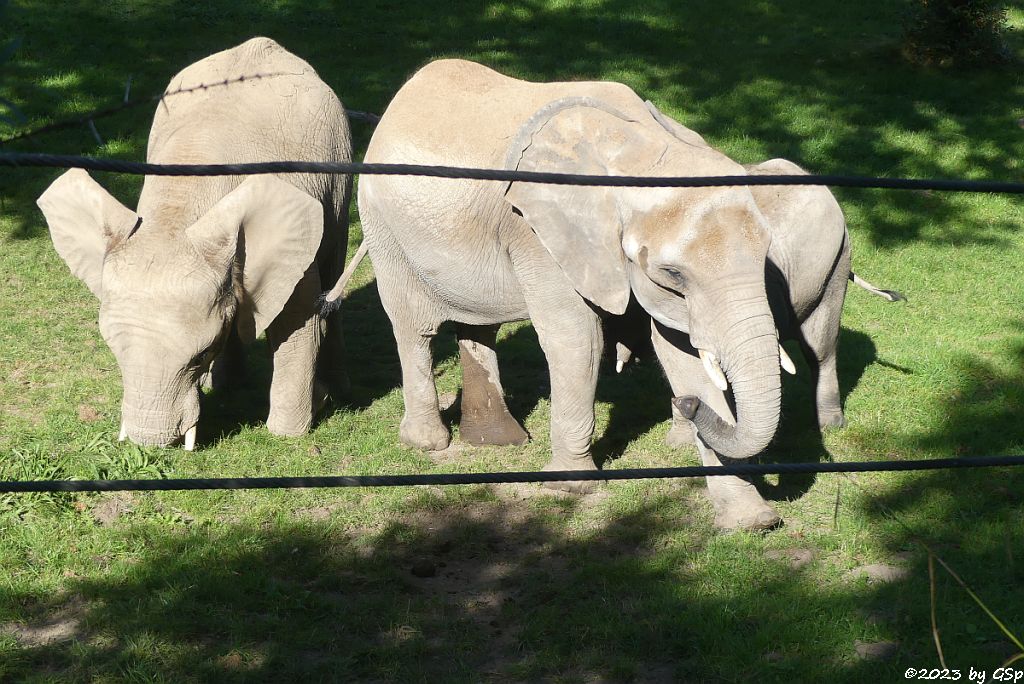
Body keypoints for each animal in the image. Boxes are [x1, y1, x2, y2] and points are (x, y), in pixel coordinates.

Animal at [36, 40, 354, 450]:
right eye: (111, 348)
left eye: (200, 355)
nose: (148, 447)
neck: (179, 206)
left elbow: (299, 317)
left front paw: (289, 434)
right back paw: (230, 387)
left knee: (333, 268)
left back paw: (338, 389)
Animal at [364, 58, 802, 528]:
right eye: (672, 273)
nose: (686, 405)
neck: (637, 147)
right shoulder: (539, 233)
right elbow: (578, 338)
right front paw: (570, 487)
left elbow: (680, 350)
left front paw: (752, 520)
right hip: (382, 227)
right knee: (413, 327)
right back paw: (429, 443)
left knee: (479, 326)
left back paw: (499, 441)